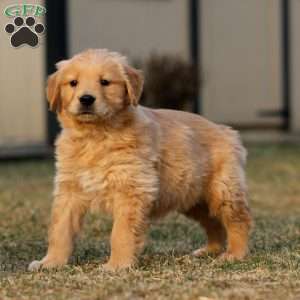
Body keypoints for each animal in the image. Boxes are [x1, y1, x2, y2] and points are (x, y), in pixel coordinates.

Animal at [28, 48, 253, 270]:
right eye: (73, 82)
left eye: (105, 82)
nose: (86, 99)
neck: (96, 136)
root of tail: (226, 130)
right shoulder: (69, 190)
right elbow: (60, 230)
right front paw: (50, 262)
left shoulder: (131, 189)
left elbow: (121, 233)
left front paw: (117, 265)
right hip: (191, 197)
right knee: (213, 222)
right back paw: (209, 251)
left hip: (222, 190)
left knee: (239, 220)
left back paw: (234, 254)